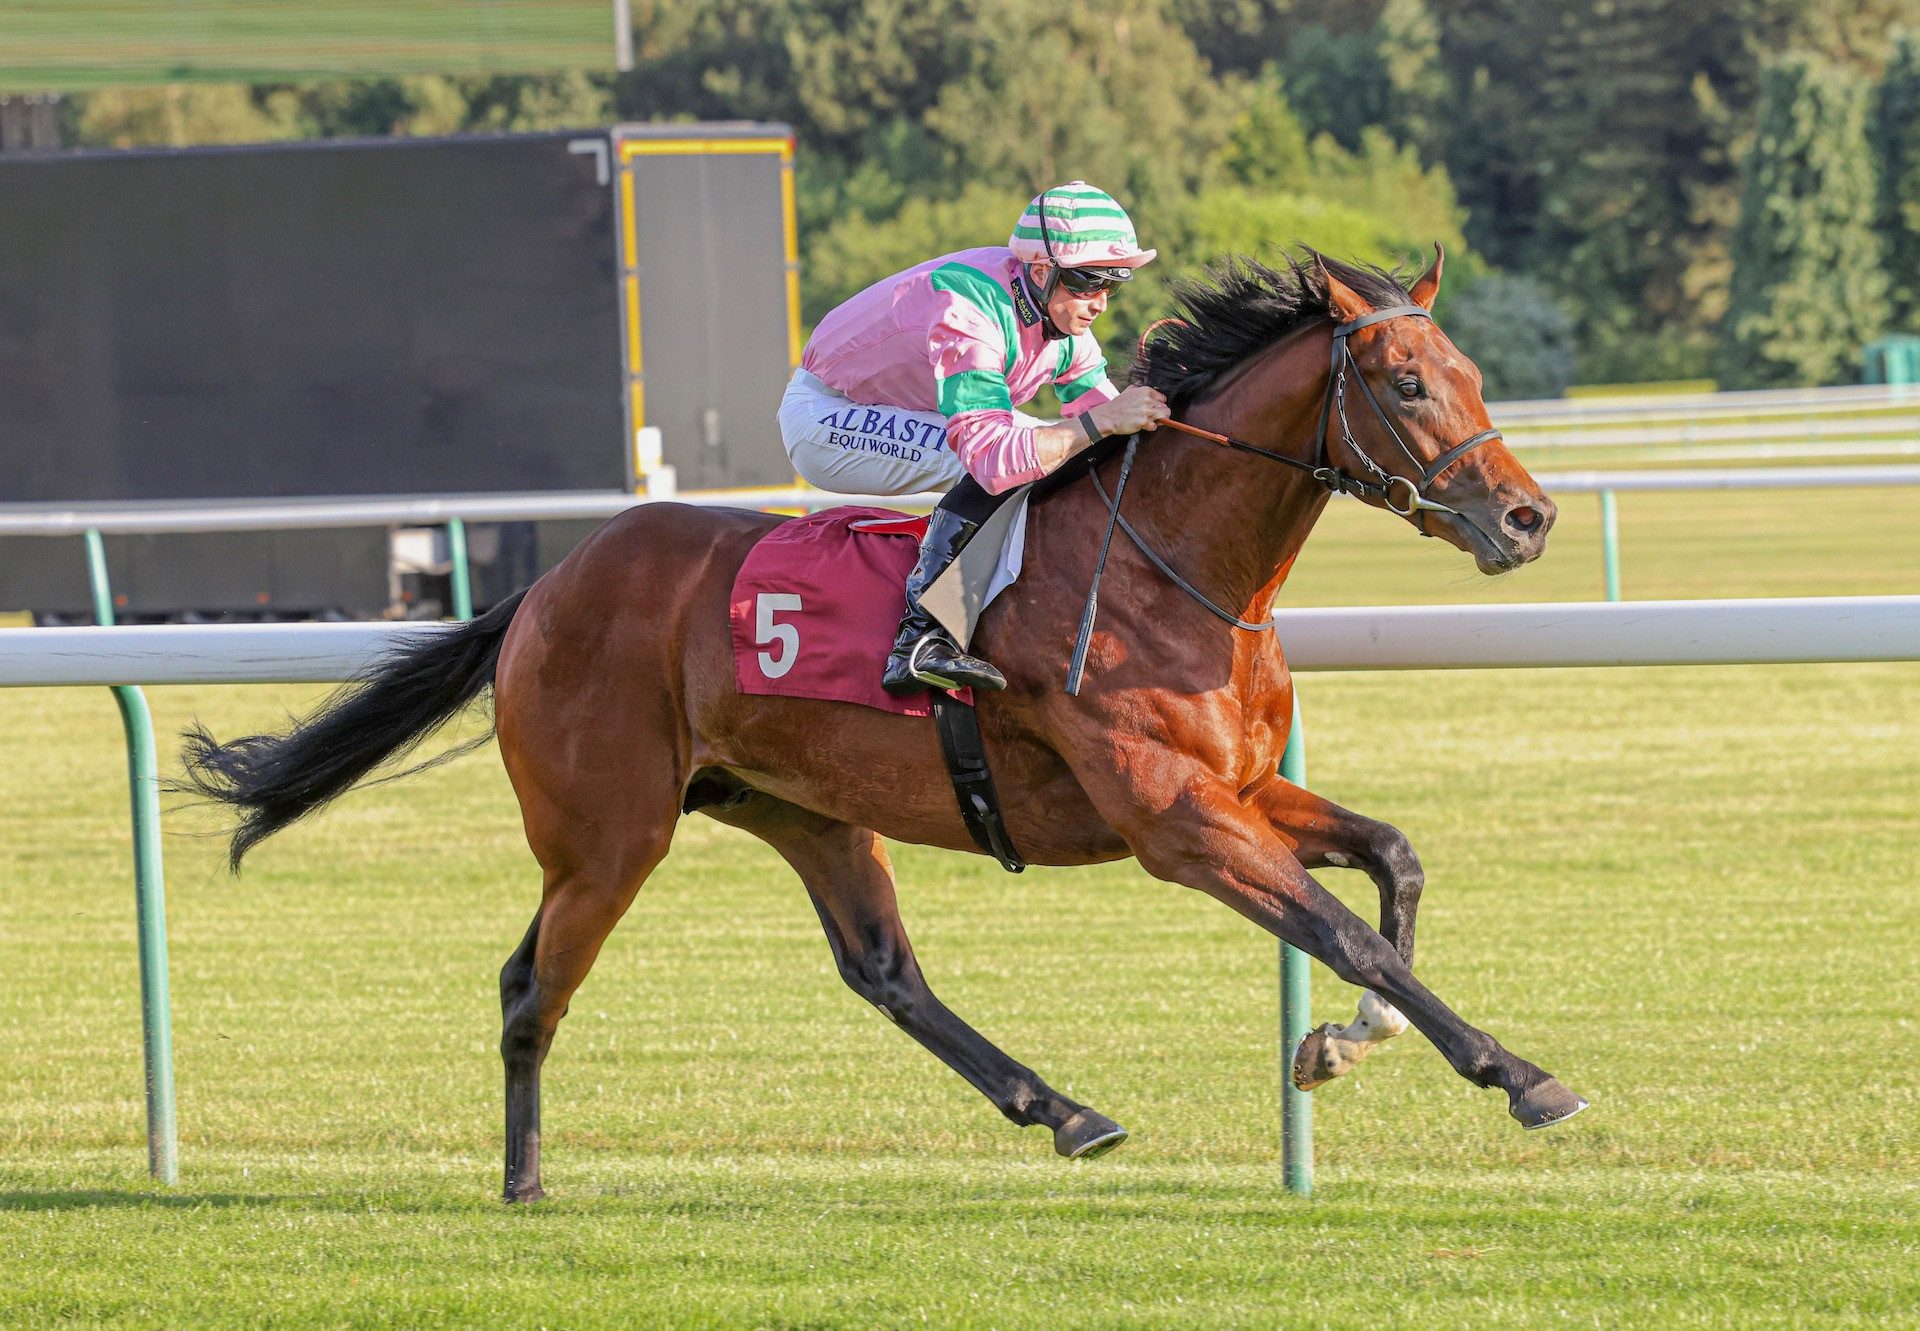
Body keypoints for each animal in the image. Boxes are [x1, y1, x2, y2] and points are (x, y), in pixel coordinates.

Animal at [183, 243, 1589, 1198]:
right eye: (1405, 382)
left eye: (1470, 373)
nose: (1529, 518)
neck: (1174, 563)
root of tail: (549, 584)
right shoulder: (1175, 821)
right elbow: (1346, 930)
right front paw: (1520, 1075)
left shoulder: (1240, 788)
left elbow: (1394, 861)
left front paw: (1342, 1046)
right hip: (607, 834)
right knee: (535, 980)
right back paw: (526, 1181)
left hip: (803, 809)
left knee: (883, 970)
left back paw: (1062, 1107)